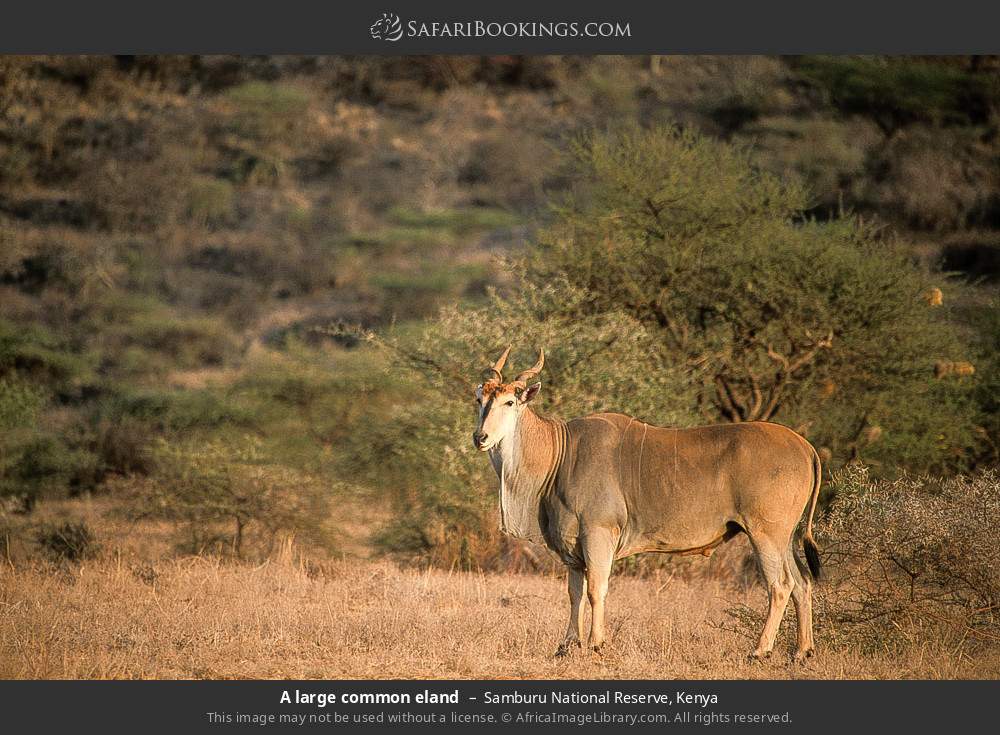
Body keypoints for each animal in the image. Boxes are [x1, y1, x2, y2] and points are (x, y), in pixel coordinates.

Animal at [472, 348, 824, 664]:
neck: (561, 452)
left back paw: (760, 651)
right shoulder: (572, 550)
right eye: (480, 400)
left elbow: (596, 589)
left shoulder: (599, 534)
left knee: (781, 586)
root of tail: (806, 447)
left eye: (510, 402)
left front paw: (596, 644)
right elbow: (574, 593)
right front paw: (566, 647)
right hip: (784, 539)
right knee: (802, 584)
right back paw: (801, 652)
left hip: (766, 535)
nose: (480, 437)